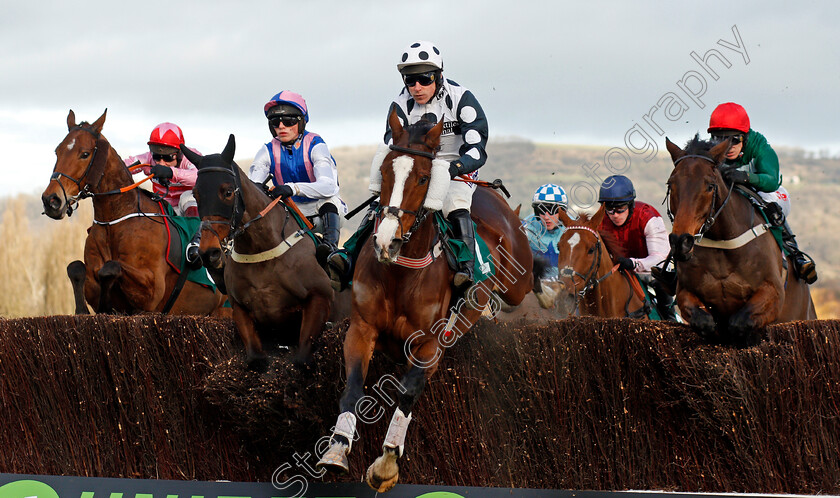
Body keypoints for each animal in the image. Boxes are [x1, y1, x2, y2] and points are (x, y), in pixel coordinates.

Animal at [41, 112, 228, 316]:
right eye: (57, 151)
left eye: (84, 154)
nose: (51, 200)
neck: (114, 221)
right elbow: (75, 267)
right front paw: (84, 309)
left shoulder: (151, 292)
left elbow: (110, 268)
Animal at [185, 134, 340, 368]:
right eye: (196, 194)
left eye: (227, 192)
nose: (208, 253)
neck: (261, 252)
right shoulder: (240, 309)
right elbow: (256, 359)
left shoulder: (319, 298)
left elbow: (302, 360)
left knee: (328, 199)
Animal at [318, 112, 536, 490]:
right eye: (385, 172)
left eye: (423, 177)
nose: (386, 242)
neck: (401, 272)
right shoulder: (362, 328)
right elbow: (354, 387)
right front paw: (337, 450)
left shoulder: (430, 344)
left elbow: (407, 393)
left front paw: (386, 464)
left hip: (517, 280)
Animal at [664, 134, 812, 340]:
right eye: (671, 184)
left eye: (710, 186)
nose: (681, 242)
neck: (723, 243)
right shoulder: (685, 292)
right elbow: (705, 322)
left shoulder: (773, 293)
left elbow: (739, 322)